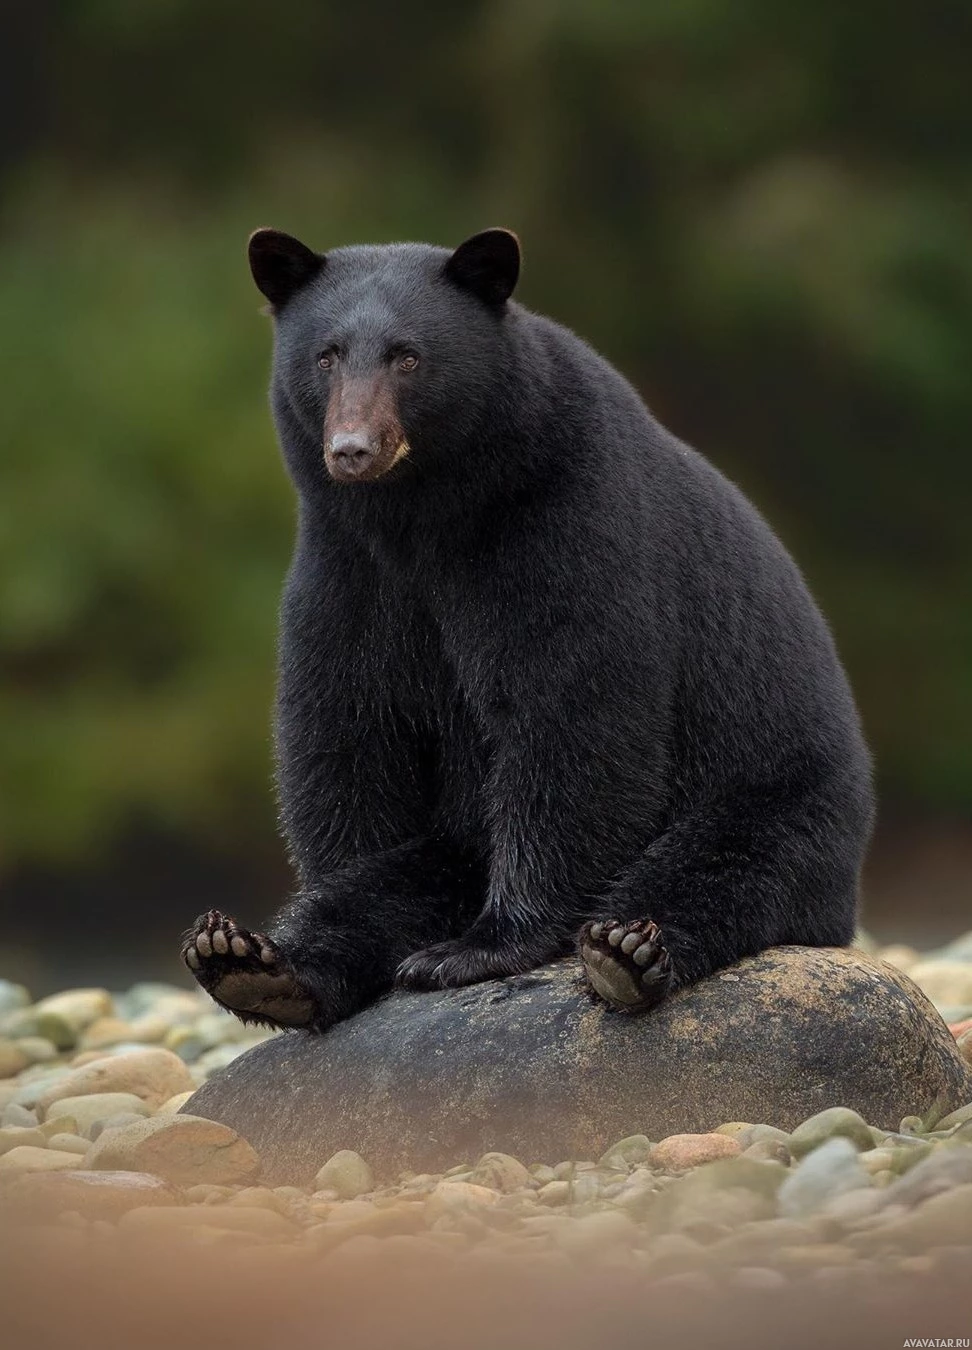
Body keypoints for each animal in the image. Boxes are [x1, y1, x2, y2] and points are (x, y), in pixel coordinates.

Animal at [180, 229, 874, 1031]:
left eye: (408, 356)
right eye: (325, 355)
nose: (352, 448)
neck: (423, 519)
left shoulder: (561, 525)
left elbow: (574, 712)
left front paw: (487, 946)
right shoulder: (349, 571)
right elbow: (349, 729)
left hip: (778, 789)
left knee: (726, 867)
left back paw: (624, 951)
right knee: (400, 880)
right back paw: (255, 962)